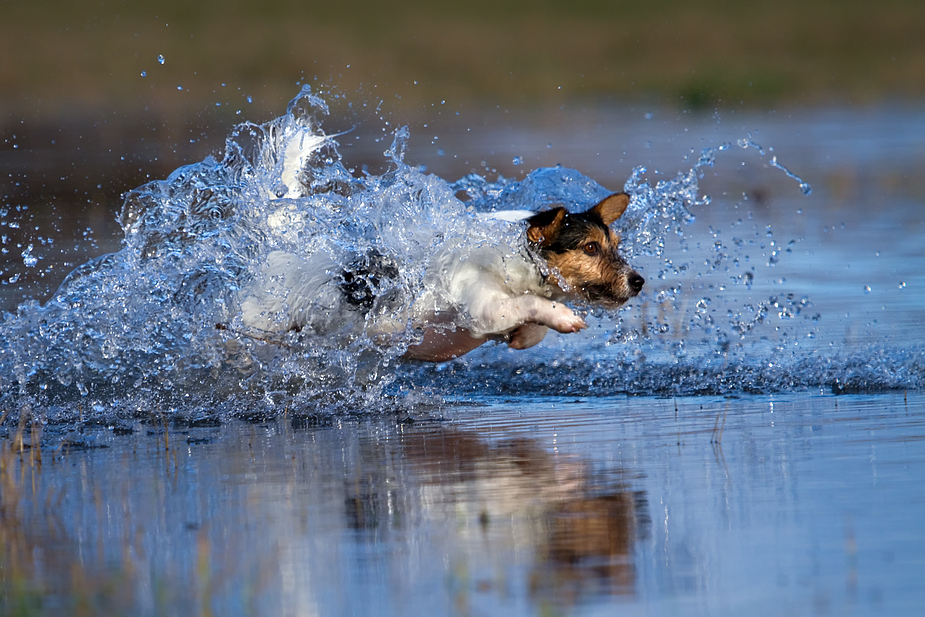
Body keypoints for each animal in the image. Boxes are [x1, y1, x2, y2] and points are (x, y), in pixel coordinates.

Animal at [238, 190, 644, 360]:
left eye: (615, 244)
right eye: (589, 248)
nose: (639, 281)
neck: (511, 258)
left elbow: (532, 327)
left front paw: (525, 334)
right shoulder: (484, 307)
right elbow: (531, 302)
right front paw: (563, 317)